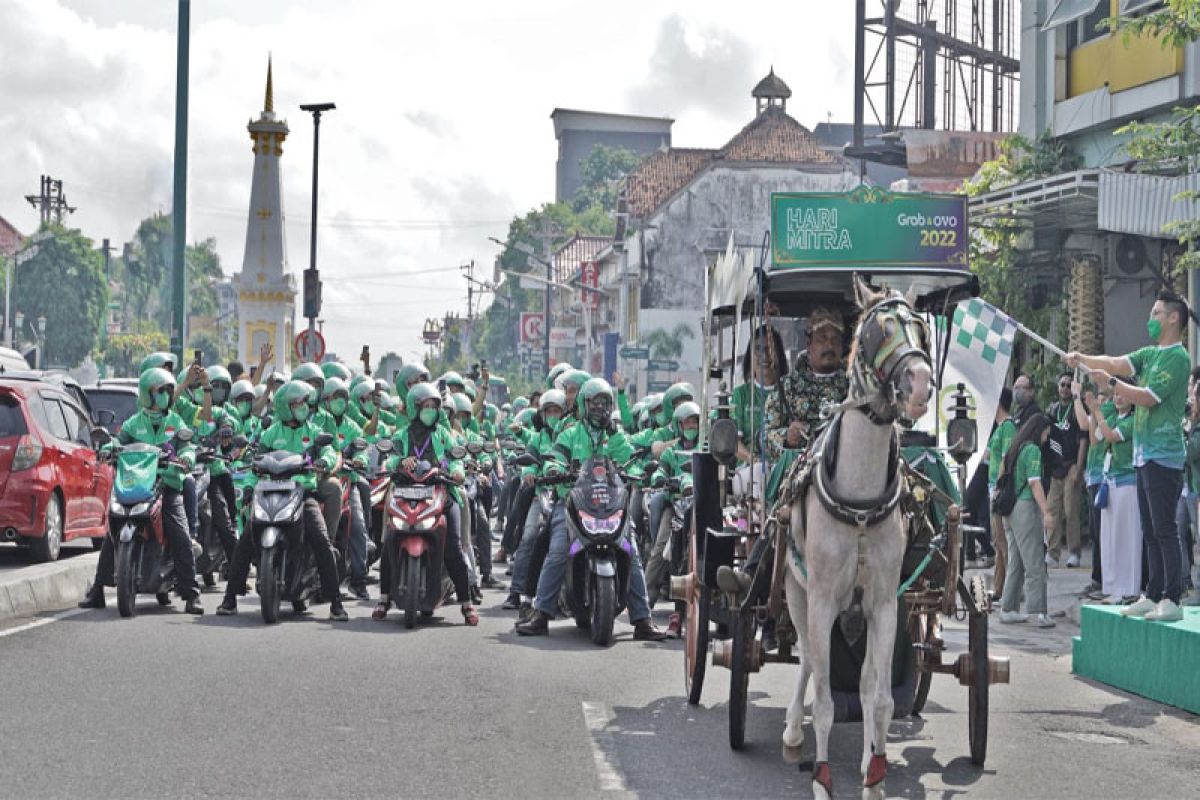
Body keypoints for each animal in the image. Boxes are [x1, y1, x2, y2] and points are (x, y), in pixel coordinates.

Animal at [777, 280, 936, 800]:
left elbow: (878, 697)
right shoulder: (822, 598)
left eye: (921, 328)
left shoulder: (885, 604)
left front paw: (874, 776)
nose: (920, 384)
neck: (861, 503)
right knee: (809, 658)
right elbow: (826, 701)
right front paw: (823, 780)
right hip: (795, 591)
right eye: (876, 332)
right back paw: (792, 734)